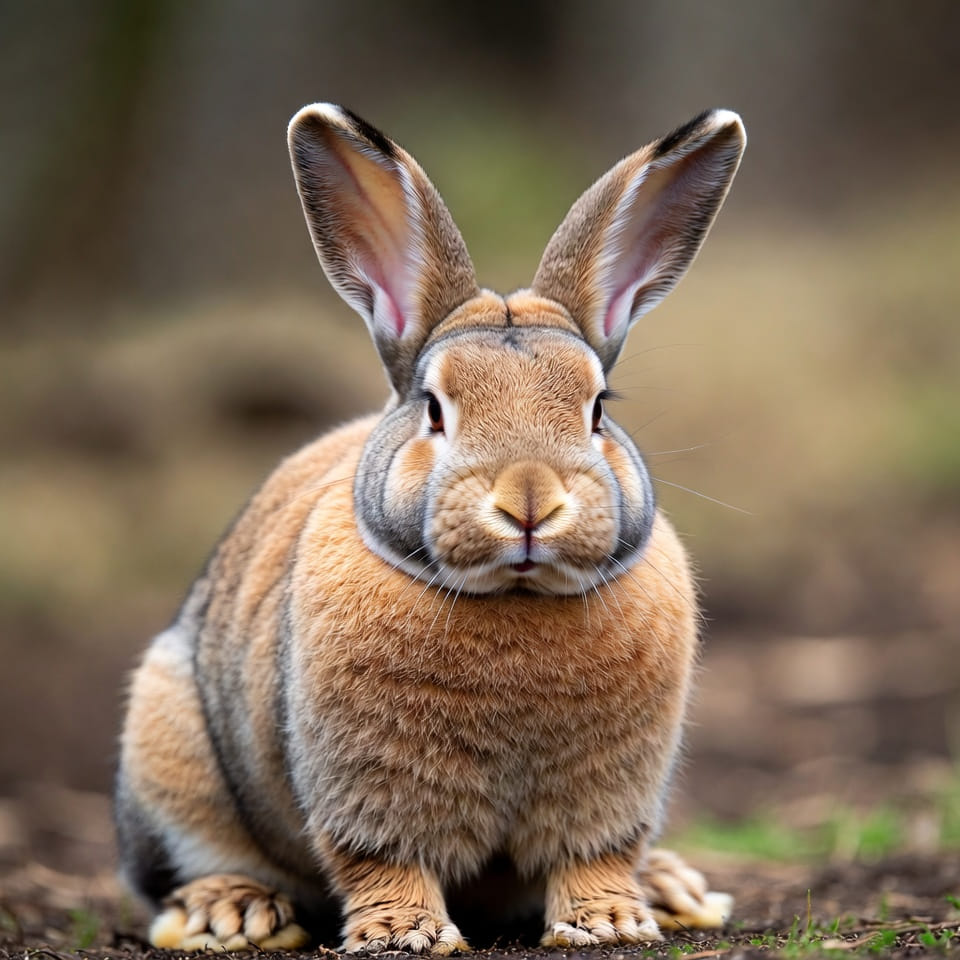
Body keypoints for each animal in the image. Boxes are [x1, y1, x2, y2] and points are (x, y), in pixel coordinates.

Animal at [115, 102, 746, 953]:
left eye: (598, 408)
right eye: (435, 409)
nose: (528, 502)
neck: (514, 599)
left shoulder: (611, 796)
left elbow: (593, 855)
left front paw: (608, 923)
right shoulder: (366, 792)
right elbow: (384, 859)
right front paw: (404, 933)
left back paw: (674, 889)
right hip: (168, 745)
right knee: (189, 864)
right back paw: (232, 912)